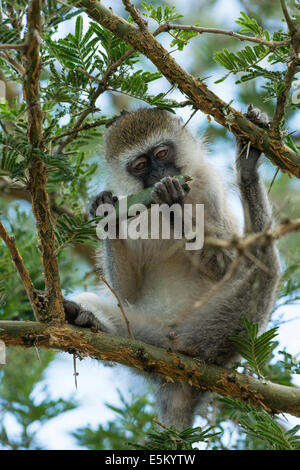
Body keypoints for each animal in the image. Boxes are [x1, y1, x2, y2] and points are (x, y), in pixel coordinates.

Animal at [63, 106, 282, 430]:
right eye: (141, 165)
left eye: (162, 153)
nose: (159, 174)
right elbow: (127, 291)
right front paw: (106, 211)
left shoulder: (208, 187)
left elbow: (228, 265)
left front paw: (173, 203)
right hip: (144, 337)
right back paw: (91, 322)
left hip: (216, 330)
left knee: (265, 265)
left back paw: (247, 172)